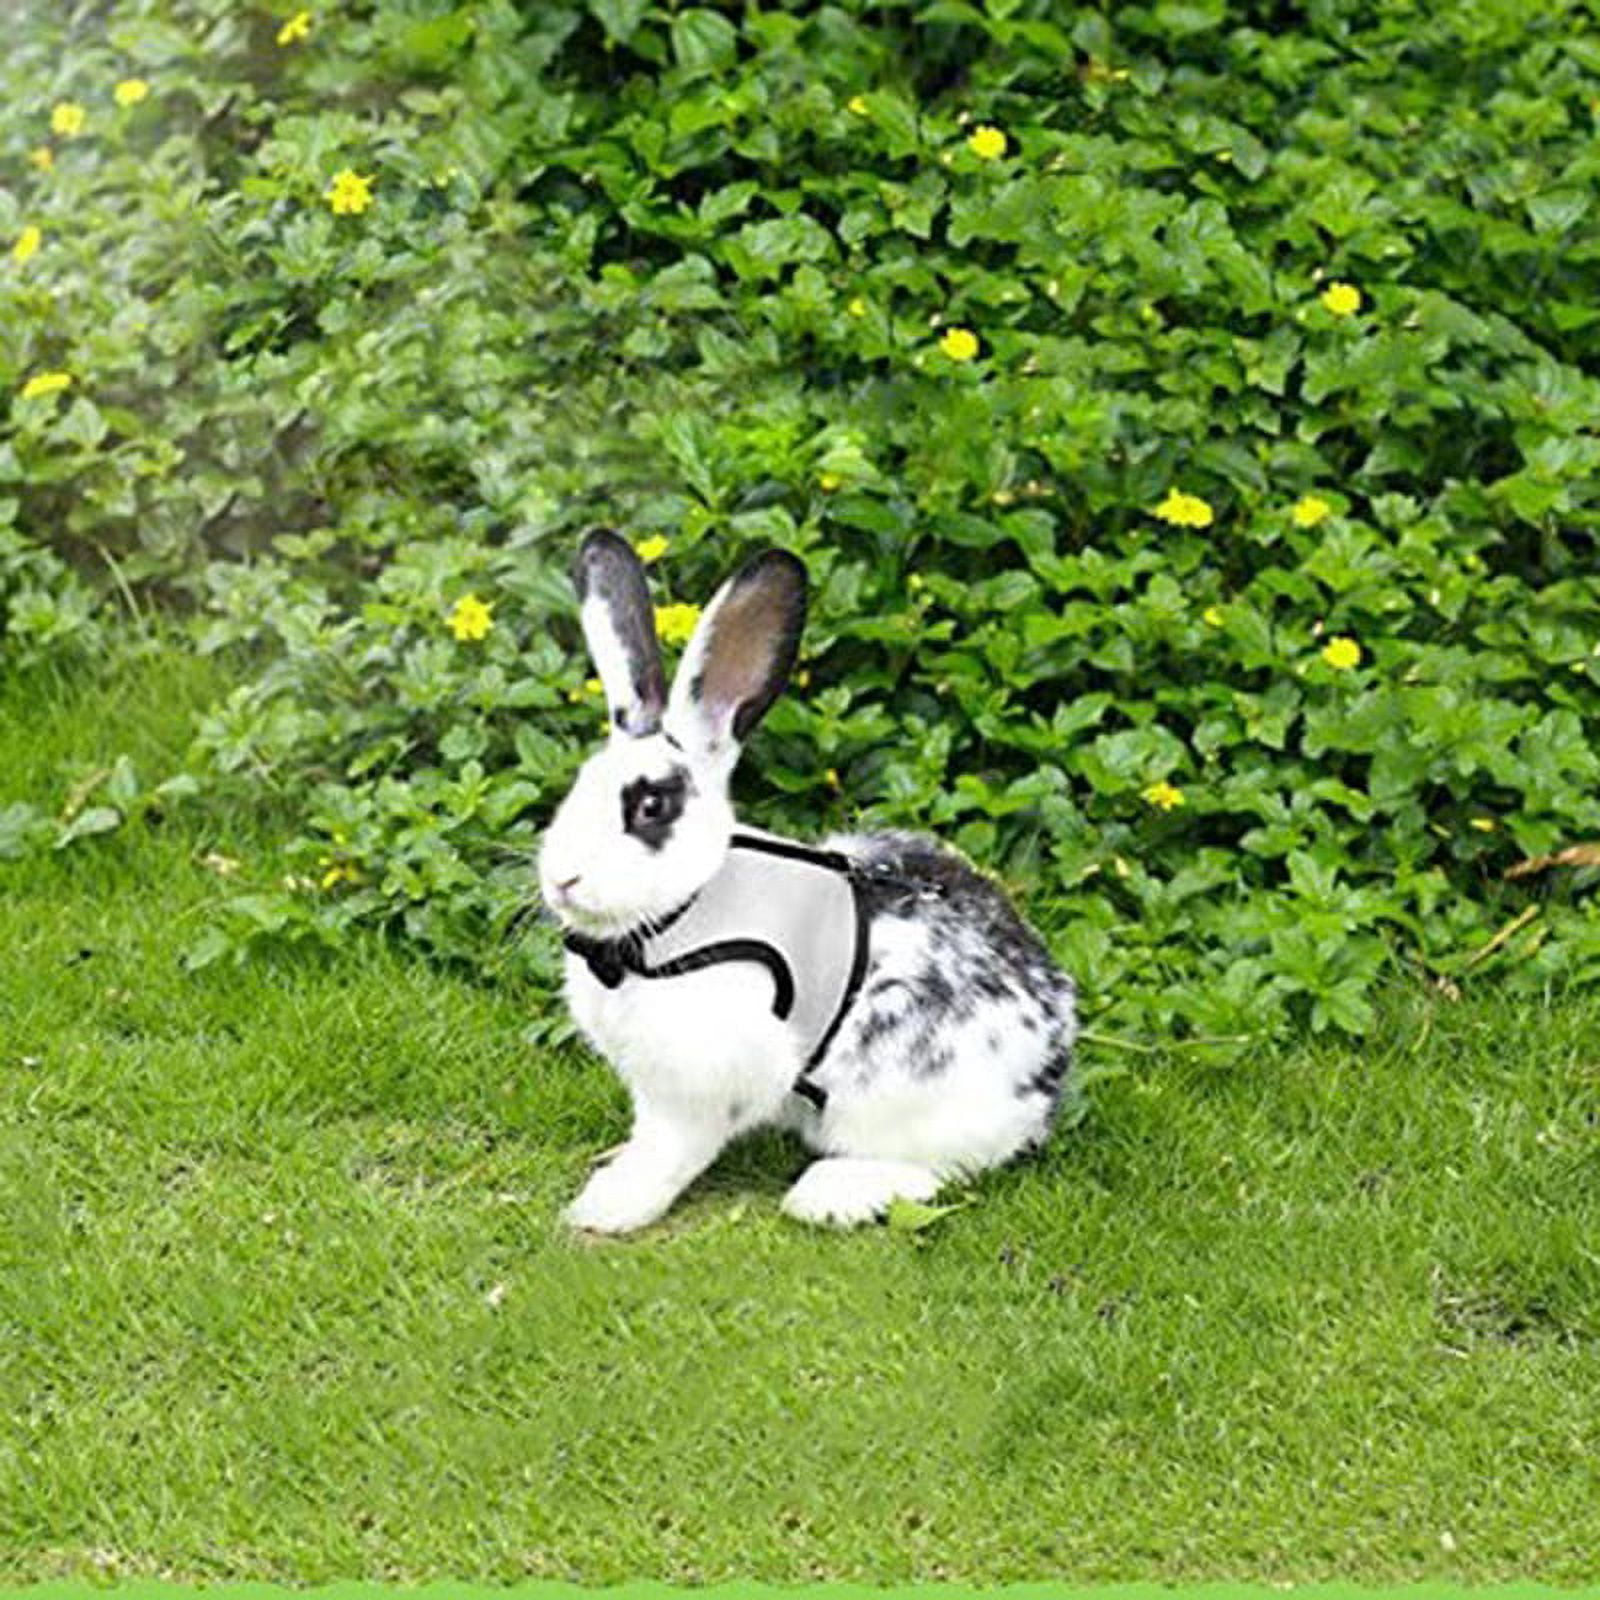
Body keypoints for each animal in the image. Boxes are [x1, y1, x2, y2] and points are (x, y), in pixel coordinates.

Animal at [537, 531, 1075, 1228]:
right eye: (579, 785)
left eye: (651, 807)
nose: (562, 879)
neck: (678, 915)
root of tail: (1047, 1075)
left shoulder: (704, 1087)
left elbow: (670, 1150)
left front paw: (607, 1208)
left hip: (895, 1102)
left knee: (943, 1170)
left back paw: (831, 1193)